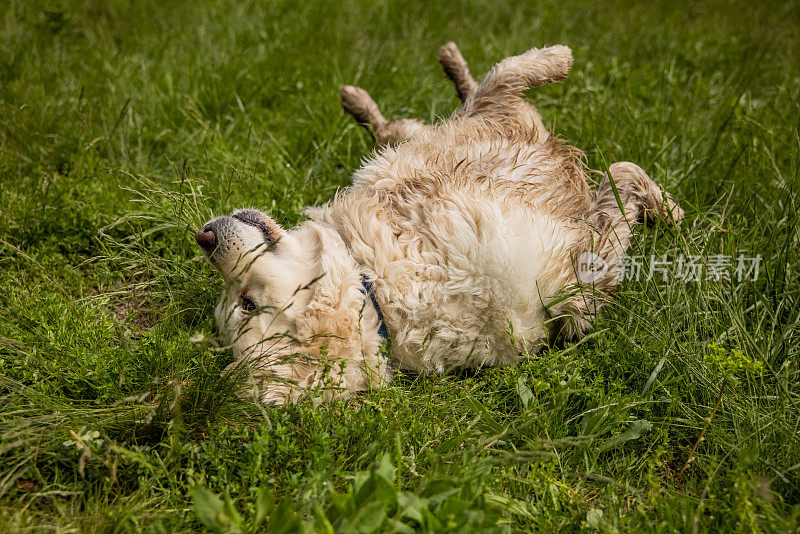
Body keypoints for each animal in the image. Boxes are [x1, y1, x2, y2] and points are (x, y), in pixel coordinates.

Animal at [194, 43, 680, 406]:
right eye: (244, 303)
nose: (205, 237)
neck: (377, 289)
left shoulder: (464, 137)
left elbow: (507, 73)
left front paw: (557, 58)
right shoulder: (580, 281)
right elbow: (623, 173)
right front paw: (666, 210)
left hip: (427, 135)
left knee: (413, 119)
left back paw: (400, 82)